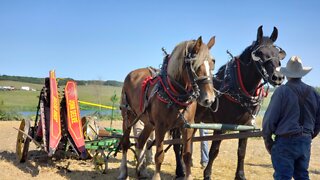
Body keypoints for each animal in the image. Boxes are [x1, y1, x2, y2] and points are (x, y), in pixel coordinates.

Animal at [118, 37, 218, 180]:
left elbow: (187, 155)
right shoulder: (160, 127)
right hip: (128, 116)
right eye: (195, 65)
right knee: (126, 143)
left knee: (141, 142)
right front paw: (156, 177)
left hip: (149, 123)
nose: (209, 99)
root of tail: (132, 74)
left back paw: (141, 170)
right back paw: (123, 172)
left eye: (212, 63)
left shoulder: (187, 126)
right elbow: (159, 155)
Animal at [174, 26, 286, 179]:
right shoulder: (220, 125)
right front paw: (207, 174)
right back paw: (180, 170)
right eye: (260, 53)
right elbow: (214, 151)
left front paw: (240, 175)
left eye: (278, 54)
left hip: (194, 120)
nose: (278, 77)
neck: (237, 88)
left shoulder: (246, 126)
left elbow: (242, 151)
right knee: (176, 144)